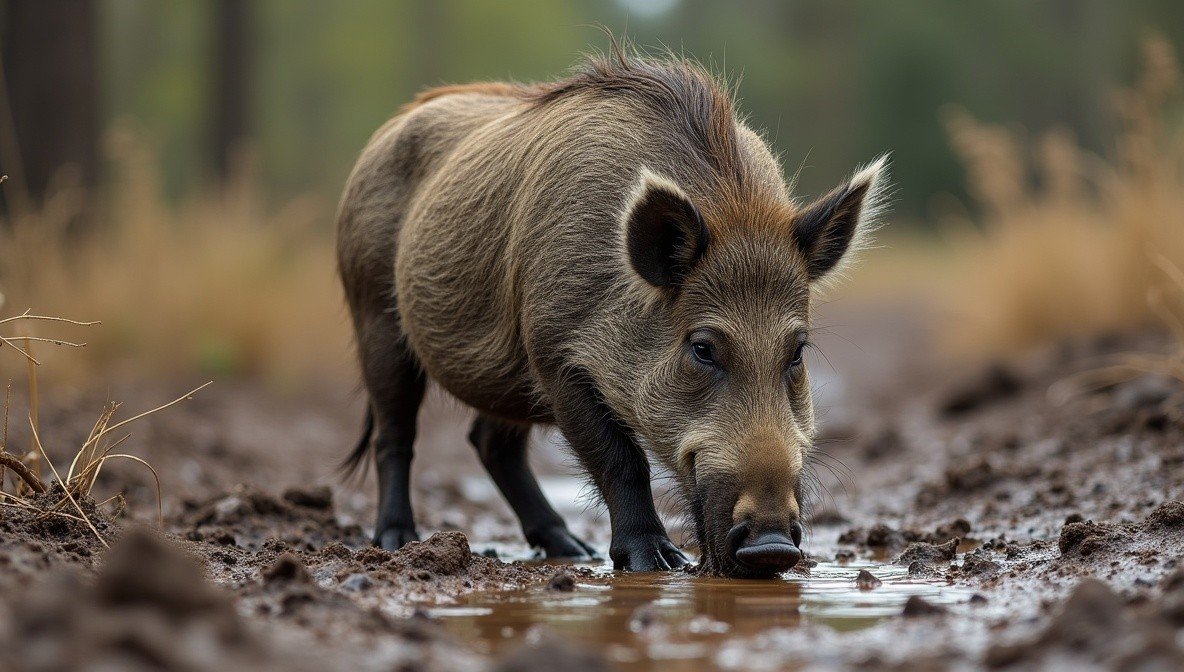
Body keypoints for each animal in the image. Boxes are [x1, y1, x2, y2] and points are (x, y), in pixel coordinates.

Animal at [336, 48, 888, 577]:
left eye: (797, 352)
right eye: (703, 348)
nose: (772, 545)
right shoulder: (555, 353)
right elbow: (622, 460)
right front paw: (657, 563)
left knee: (490, 441)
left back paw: (570, 551)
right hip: (374, 315)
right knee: (396, 433)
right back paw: (396, 542)